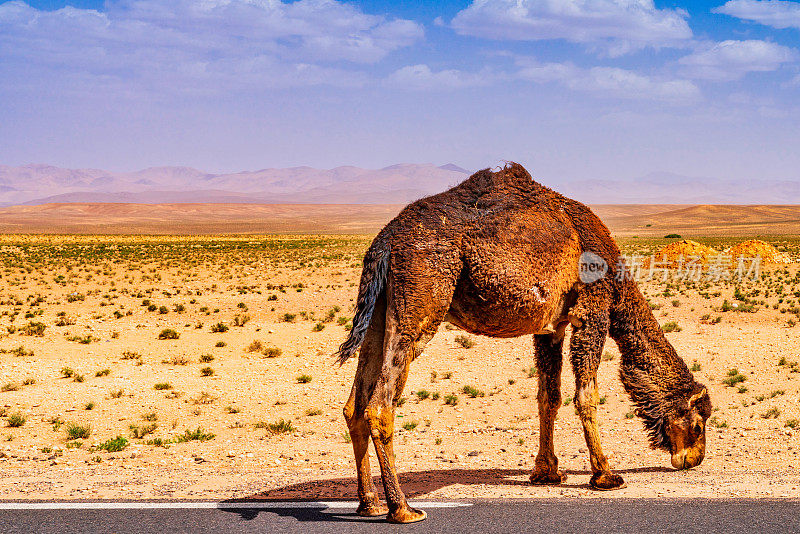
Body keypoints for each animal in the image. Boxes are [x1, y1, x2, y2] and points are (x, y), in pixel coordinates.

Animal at [334, 163, 708, 524]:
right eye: (698, 424)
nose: (695, 458)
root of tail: (385, 240)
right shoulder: (592, 310)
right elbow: (586, 396)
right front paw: (606, 475)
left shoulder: (551, 327)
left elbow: (549, 398)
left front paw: (546, 472)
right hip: (422, 295)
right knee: (380, 404)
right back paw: (403, 509)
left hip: (381, 308)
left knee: (355, 404)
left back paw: (370, 503)